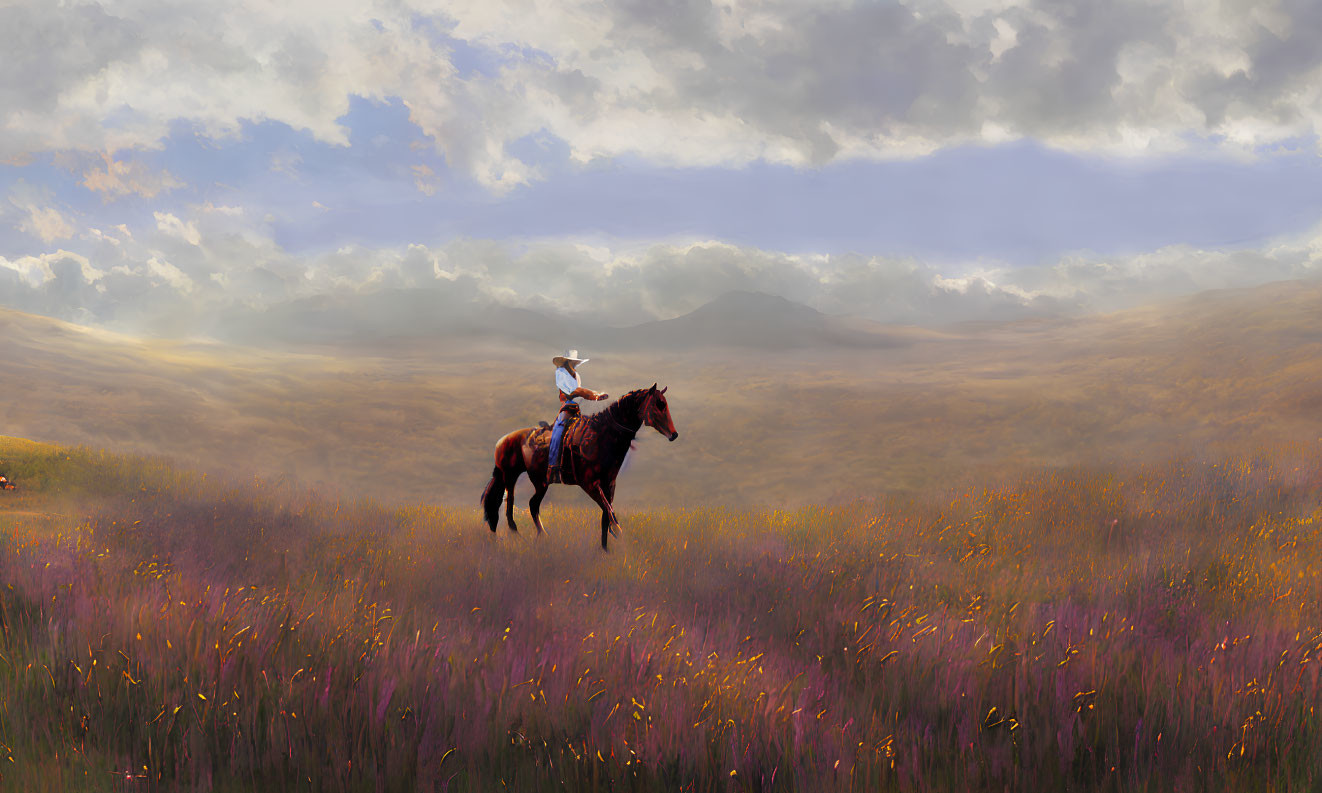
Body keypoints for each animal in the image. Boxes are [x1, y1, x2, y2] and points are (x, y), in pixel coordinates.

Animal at [478, 385, 682, 547]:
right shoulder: (589, 484)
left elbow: (606, 515)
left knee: (531, 505)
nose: (674, 434)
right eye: (659, 404)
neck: (602, 436)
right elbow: (610, 514)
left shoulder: (609, 484)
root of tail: (503, 440)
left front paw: (605, 550)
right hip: (511, 477)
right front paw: (619, 538)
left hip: (539, 482)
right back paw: (520, 538)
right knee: (510, 506)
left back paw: (541, 537)